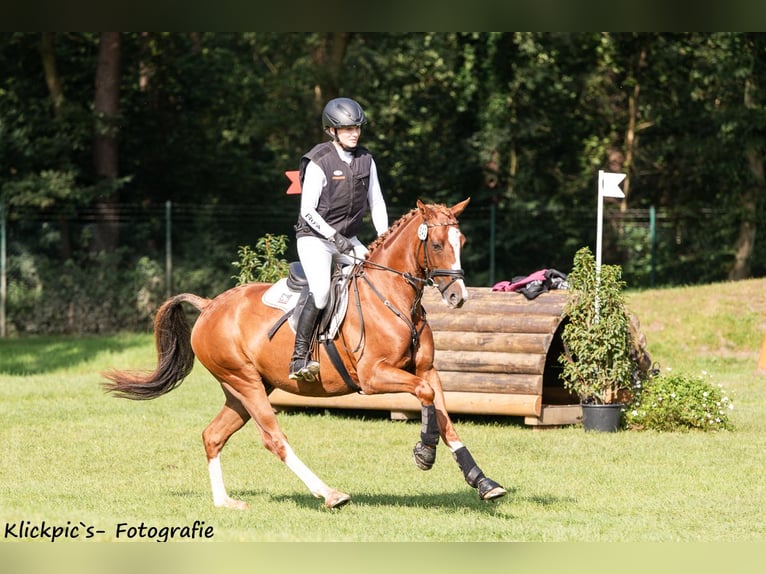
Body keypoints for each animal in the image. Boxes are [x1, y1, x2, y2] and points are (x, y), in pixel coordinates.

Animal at [103, 200, 510, 510]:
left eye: (462, 240)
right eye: (437, 244)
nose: (458, 297)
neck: (394, 297)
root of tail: (209, 305)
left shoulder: (426, 370)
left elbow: (444, 416)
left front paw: (483, 481)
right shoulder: (374, 375)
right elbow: (426, 401)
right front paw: (424, 452)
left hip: (243, 389)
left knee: (212, 435)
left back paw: (225, 502)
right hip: (245, 383)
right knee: (273, 438)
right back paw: (328, 493)